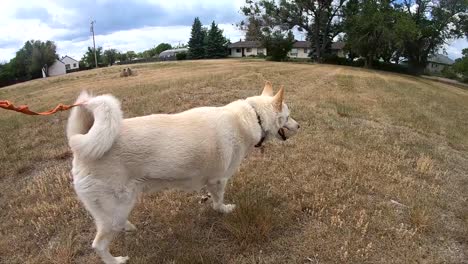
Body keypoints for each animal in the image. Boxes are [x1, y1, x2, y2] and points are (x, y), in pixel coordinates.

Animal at [66, 81, 300, 262]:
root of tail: (79, 146)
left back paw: (129, 227)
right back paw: (116, 260)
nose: (299, 126)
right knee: (98, 245)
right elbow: (218, 202)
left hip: (123, 204)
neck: (253, 116)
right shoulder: (218, 180)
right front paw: (224, 210)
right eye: (288, 115)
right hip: (115, 209)